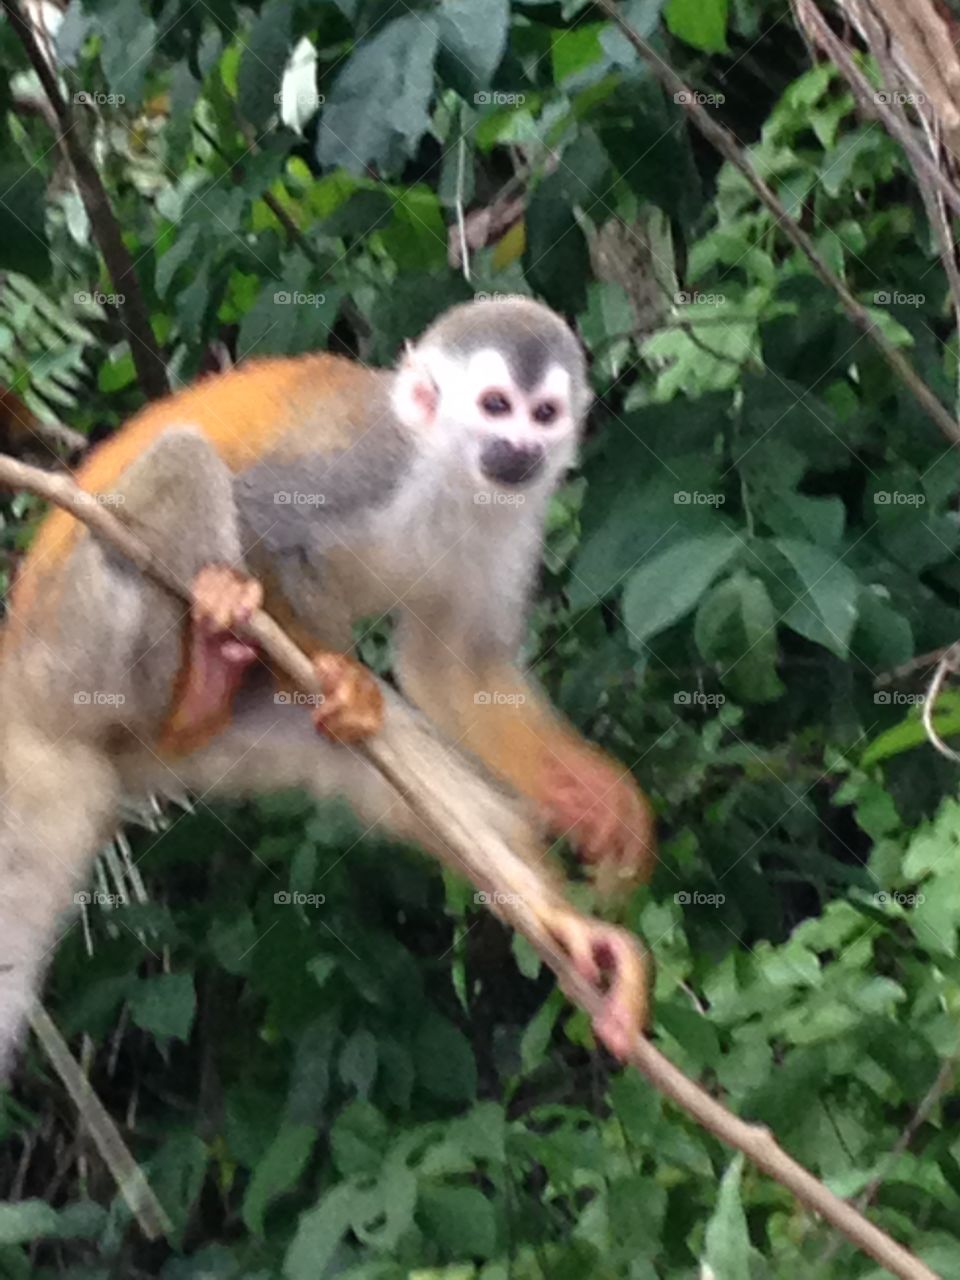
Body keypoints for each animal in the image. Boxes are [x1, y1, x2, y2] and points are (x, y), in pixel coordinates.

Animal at [0, 297, 656, 1078]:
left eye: (544, 413)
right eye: (496, 406)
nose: (521, 447)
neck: (445, 470)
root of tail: (19, 678)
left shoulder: (517, 519)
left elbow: (455, 669)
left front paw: (589, 795)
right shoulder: (369, 462)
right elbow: (265, 516)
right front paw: (336, 675)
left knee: (373, 759)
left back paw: (558, 923)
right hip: (75, 645)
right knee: (186, 462)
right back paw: (209, 675)